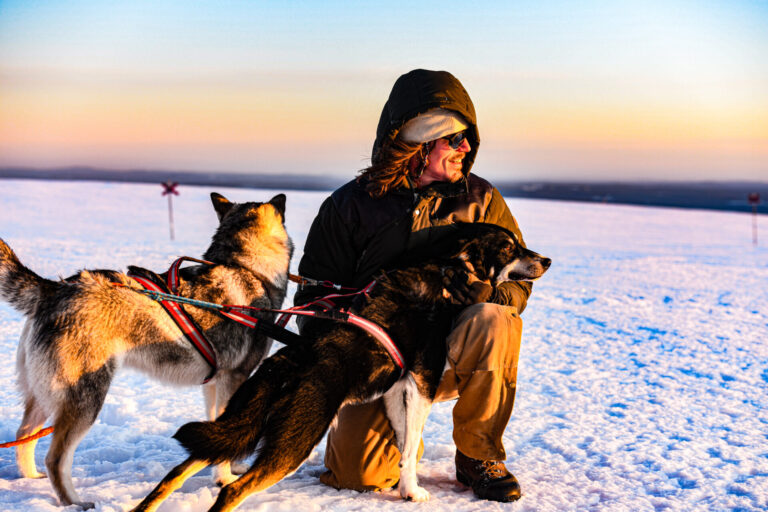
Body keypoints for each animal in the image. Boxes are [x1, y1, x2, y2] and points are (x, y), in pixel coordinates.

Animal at [0, 192, 292, 508]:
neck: (246, 268)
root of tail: (56, 288)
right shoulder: (233, 378)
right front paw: (224, 479)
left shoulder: (214, 384)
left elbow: (216, 428)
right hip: (86, 399)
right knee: (55, 459)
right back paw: (75, 503)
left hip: (44, 395)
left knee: (24, 435)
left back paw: (31, 478)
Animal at [134, 223, 552, 512]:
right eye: (510, 248)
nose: (546, 259)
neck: (451, 273)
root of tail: (287, 363)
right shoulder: (423, 381)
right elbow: (412, 438)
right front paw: (414, 490)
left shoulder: (397, 388)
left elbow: (404, 441)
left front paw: (404, 487)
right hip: (295, 441)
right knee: (233, 490)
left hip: (237, 426)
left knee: (176, 473)